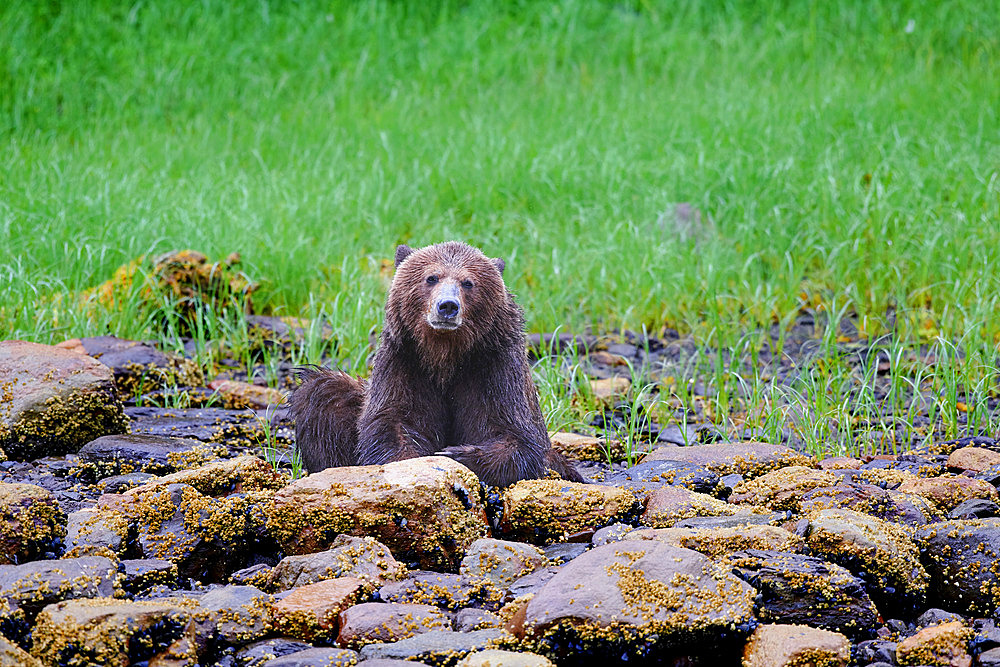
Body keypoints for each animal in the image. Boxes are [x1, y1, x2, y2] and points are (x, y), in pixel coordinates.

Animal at [290, 240, 584, 486]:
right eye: (431, 277)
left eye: (468, 282)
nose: (448, 306)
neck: (444, 356)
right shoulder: (405, 364)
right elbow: (393, 422)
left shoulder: (494, 369)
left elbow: (513, 436)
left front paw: (455, 454)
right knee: (324, 393)